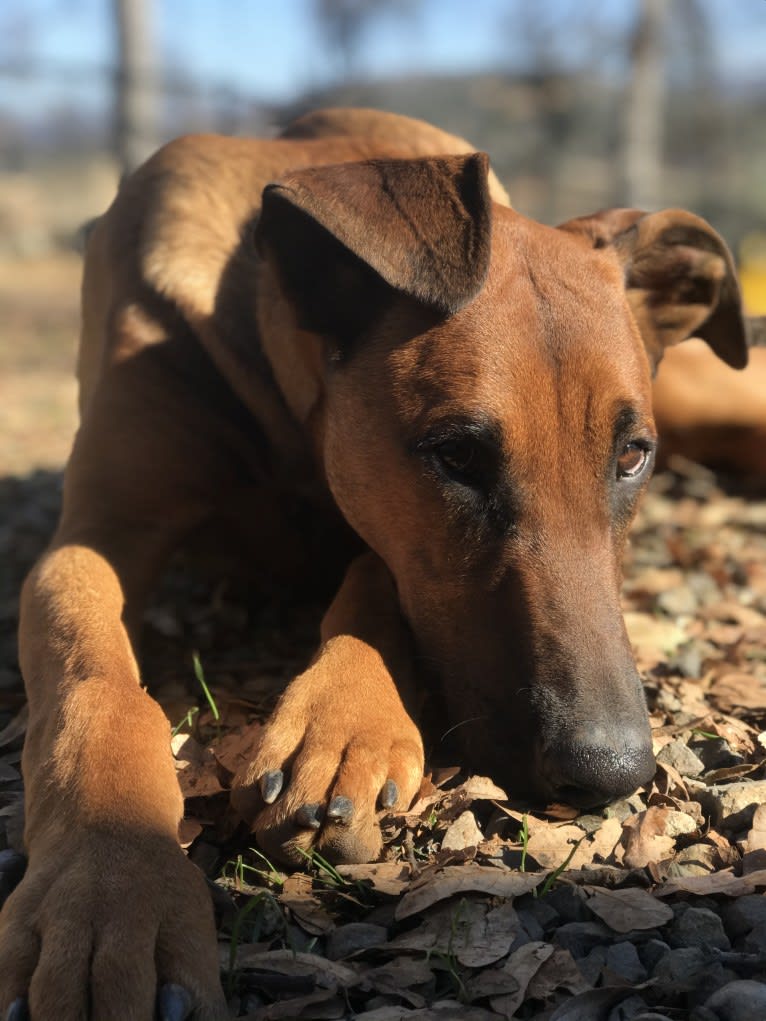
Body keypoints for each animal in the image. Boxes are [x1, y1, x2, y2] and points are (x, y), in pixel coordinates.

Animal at [0, 107, 755, 1016]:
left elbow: (374, 579)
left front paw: (344, 726)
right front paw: (109, 884)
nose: (611, 770)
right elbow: (95, 681)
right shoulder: (98, 531)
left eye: (632, 457)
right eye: (457, 455)